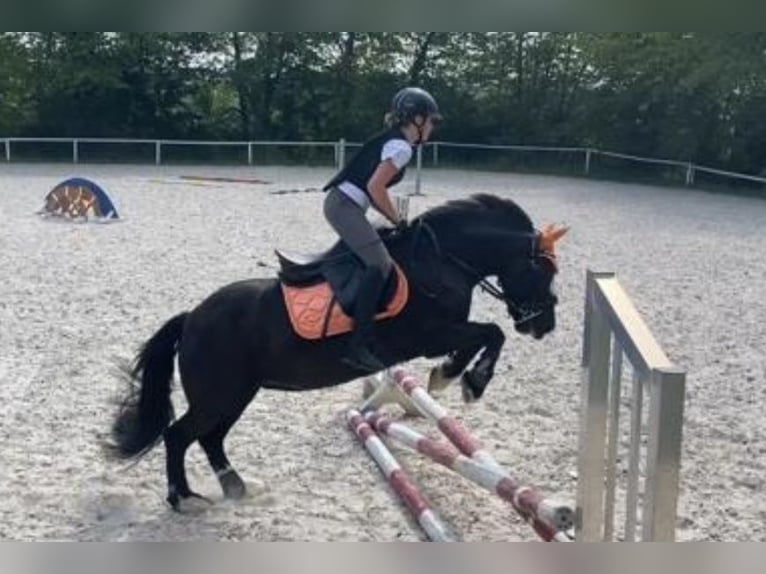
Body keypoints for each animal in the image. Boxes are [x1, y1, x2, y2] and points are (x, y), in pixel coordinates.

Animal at [111, 195, 572, 512]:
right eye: (543, 269)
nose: (545, 324)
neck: (443, 261)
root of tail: (191, 318)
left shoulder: (438, 335)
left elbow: (484, 335)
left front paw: (451, 375)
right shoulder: (430, 335)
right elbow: (491, 333)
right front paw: (464, 380)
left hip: (236, 395)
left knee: (209, 438)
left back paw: (234, 486)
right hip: (220, 395)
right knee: (180, 435)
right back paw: (184, 499)